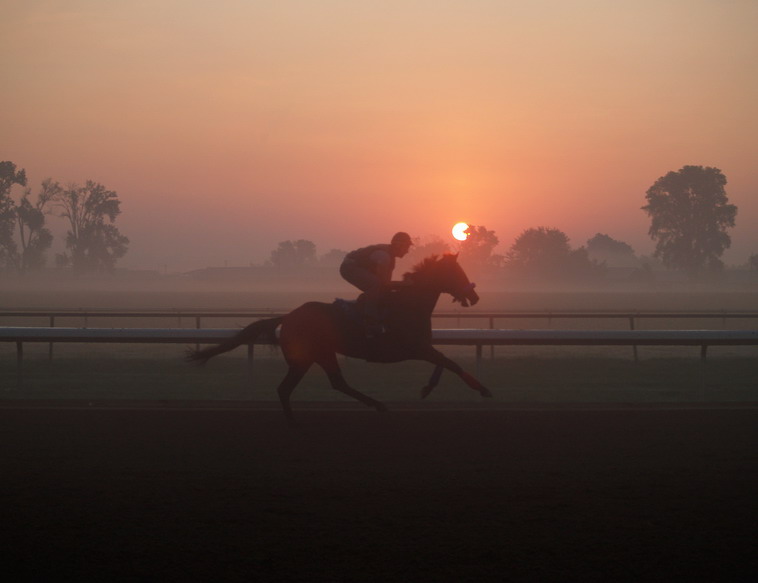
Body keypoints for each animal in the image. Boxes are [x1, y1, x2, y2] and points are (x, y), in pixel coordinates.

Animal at [187, 253, 492, 421]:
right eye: (457, 272)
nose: (475, 296)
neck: (409, 304)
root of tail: (288, 316)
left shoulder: (422, 347)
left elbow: (444, 364)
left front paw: (427, 388)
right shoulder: (414, 348)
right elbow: (451, 363)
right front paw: (483, 390)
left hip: (322, 354)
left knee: (335, 382)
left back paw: (376, 404)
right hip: (306, 357)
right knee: (288, 388)